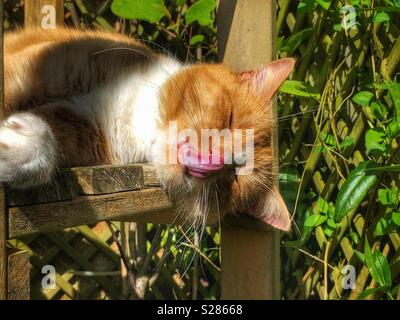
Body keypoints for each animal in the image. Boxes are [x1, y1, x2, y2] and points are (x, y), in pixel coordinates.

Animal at [1, 27, 296, 230]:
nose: (213, 160)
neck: (134, 115)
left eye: (234, 177)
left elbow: (50, 138)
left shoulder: (82, 129)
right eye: (231, 119)